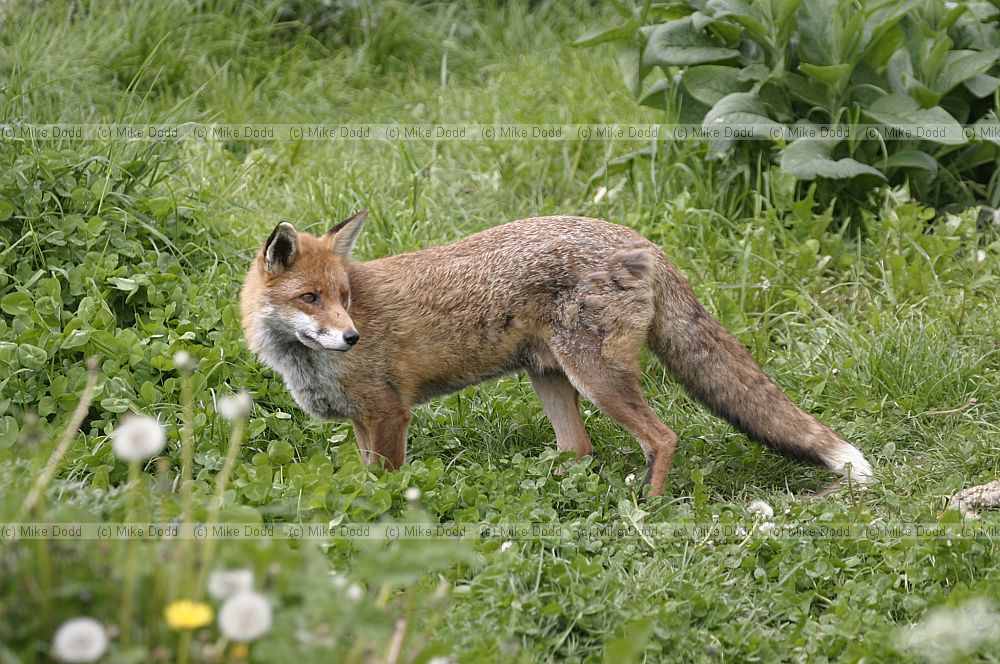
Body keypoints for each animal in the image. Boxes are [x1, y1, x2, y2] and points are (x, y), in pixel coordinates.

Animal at [240, 211, 872, 496]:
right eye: (311, 298)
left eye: (345, 300)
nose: (352, 337)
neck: (305, 364)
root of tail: (641, 240)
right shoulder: (362, 422)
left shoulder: (390, 413)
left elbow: (390, 485)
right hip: (551, 379)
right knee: (580, 450)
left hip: (598, 378)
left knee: (663, 437)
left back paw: (649, 507)